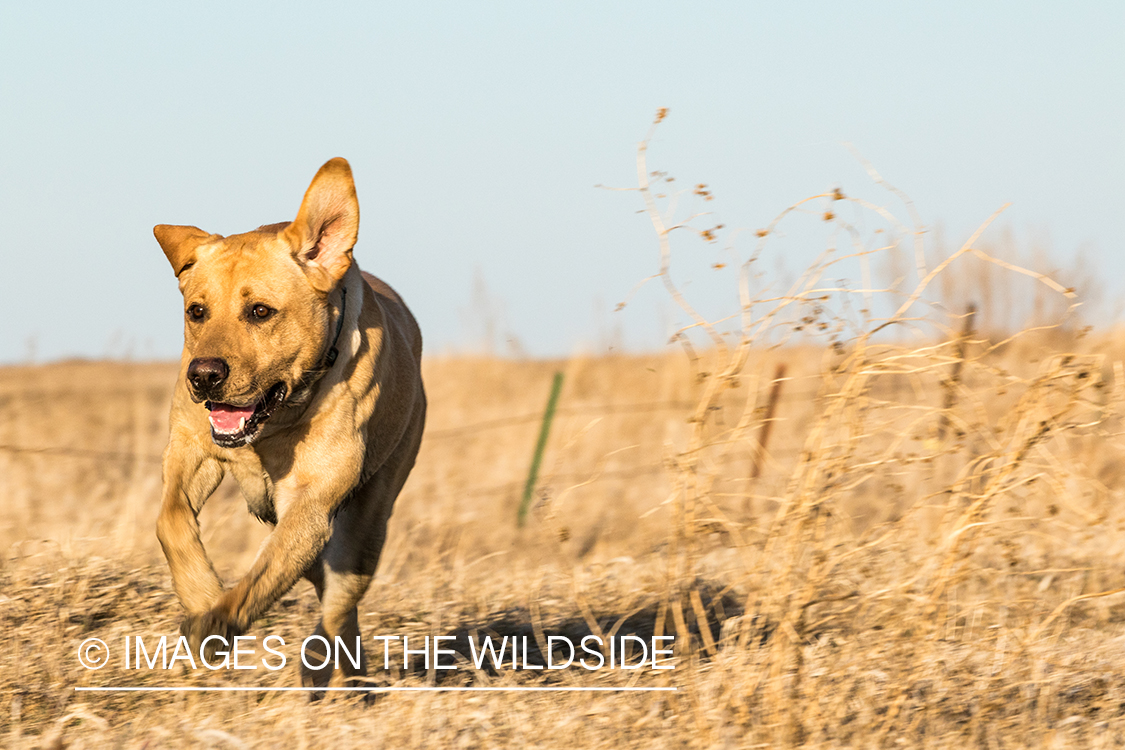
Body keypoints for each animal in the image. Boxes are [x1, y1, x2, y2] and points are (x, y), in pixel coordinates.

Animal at [154, 158, 425, 688]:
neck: (276, 423)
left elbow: (264, 573)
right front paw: (200, 593)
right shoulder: (190, 447)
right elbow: (170, 520)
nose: (204, 375)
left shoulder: (311, 504)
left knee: (339, 608)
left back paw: (338, 678)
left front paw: (213, 622)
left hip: (368, 523)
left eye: (260, 311)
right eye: (197, 311)